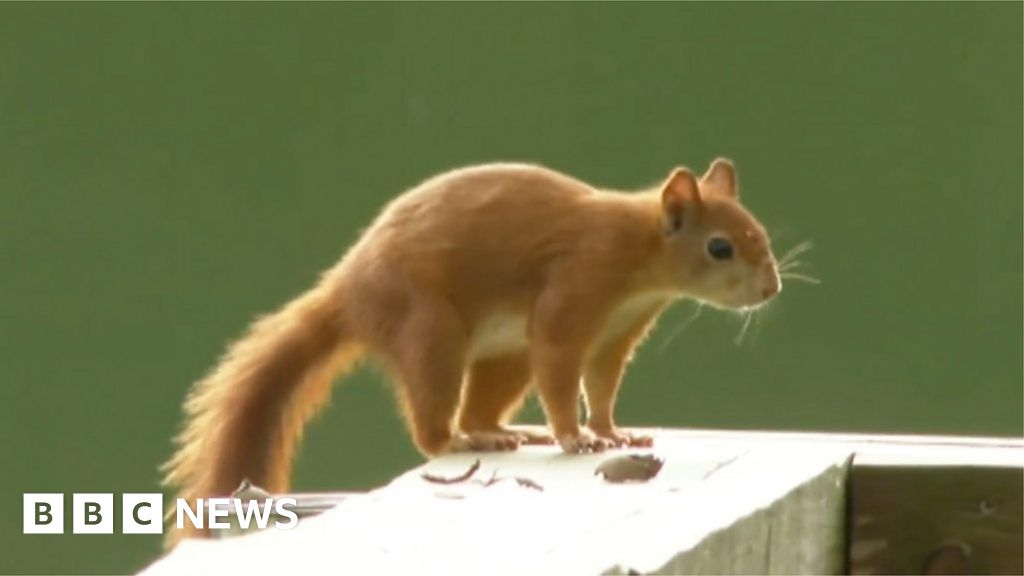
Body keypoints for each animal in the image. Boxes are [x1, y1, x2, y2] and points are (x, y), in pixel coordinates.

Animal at [163, 158, 778, 541]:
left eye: (761, 234)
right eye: (719, 247)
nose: (771, 288)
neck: (638, 254)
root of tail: (348, 294)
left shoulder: (616, 333)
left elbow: (601, 384)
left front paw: (613, 432)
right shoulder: (575, 289)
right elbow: (561, 367)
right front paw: (576, 437)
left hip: (504, 356)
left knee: (478, 407)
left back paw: (501, 431)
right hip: (430, 331)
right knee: (433, 428)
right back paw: (462, 439)